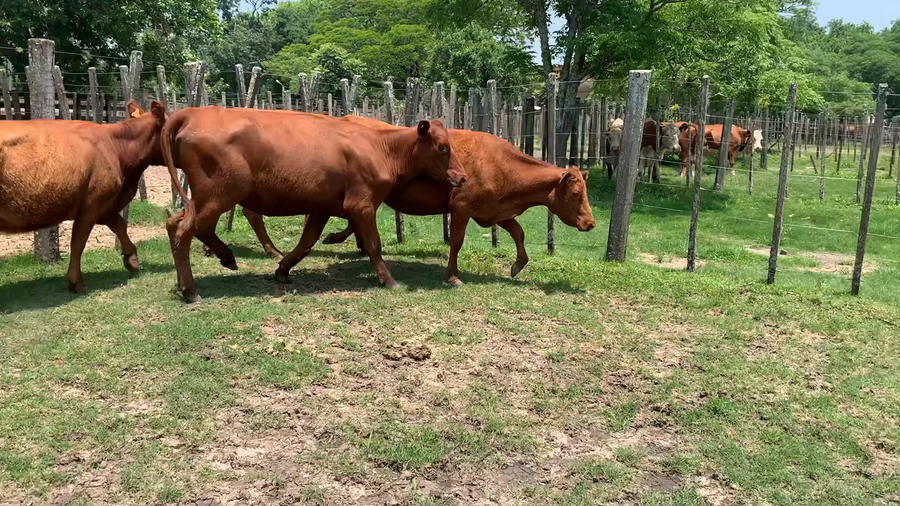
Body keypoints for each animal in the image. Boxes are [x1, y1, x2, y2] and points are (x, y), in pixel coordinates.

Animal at [0, 100, 167, 293]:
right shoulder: (91, 204)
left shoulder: (105, 205)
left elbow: (119, 225)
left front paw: (131, 259)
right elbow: (78, 242)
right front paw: (75, 282)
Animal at [162, 107, 467, 302]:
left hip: (209, 198)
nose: (463, 176)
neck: (379, 147)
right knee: (184, 230)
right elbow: (373, 244)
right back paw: (191, 290)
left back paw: (216, 263)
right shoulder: (362, 204)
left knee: (177, 224)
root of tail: (191, 113)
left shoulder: (322, 207)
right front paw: (389, 280)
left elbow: (306, 242)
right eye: (442, 147)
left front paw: (282, 270)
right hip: (218, 195)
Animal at [231, 119, 595, 285]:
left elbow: (518, 233)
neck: (500, 164)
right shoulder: (462, 208)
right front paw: (453, 276)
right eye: (576, 194)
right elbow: (457, 242)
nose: (591, 223)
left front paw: (518, 265)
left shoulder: (494, 211)